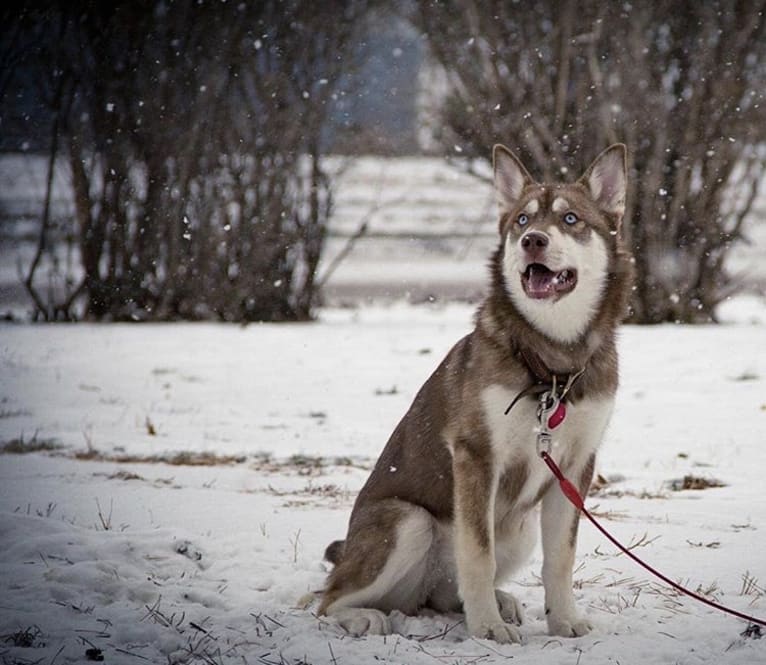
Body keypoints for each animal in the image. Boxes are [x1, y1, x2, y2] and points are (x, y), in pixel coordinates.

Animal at [318, 144, 636, 644]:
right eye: (523, 220)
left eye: (570, 219)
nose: (533, 241)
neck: (550, 364)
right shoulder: (476, 457)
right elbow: (478, 555)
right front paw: (486, 627)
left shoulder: (575, 466)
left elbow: (560, 559)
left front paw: (563, 620)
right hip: (407, 522)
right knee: (324, 599)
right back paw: (366, 616)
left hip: (520, 528)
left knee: (445, 597)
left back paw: (497, 602)